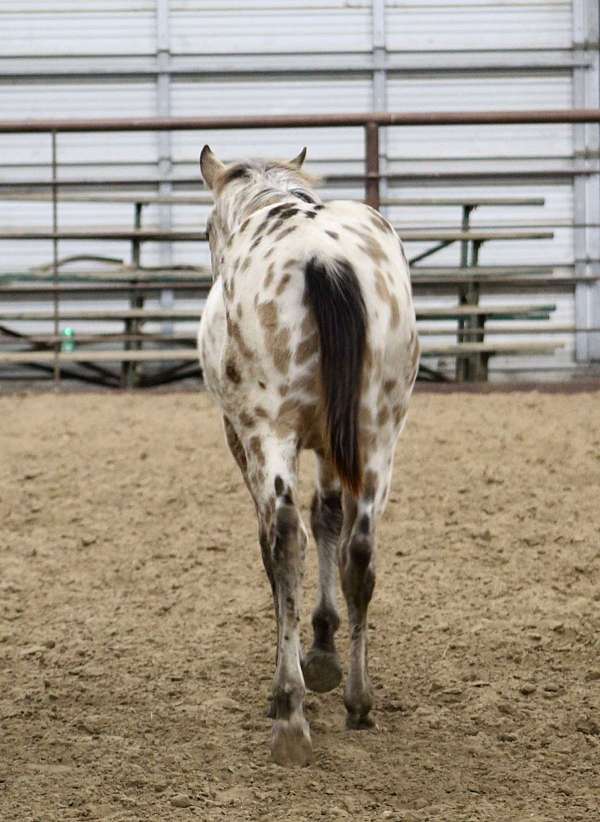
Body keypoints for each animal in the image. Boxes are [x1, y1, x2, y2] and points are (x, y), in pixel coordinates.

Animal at [197, 145, 418, 768]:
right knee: (359, 553)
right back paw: (359, 702)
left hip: (269, 432)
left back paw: (289, 713)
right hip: (378, 434)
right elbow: (329, 520)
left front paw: (298, 667)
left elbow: (277, 546)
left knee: (285, 539)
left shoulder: (242, 436)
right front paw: (323, 649)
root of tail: (324, 257)